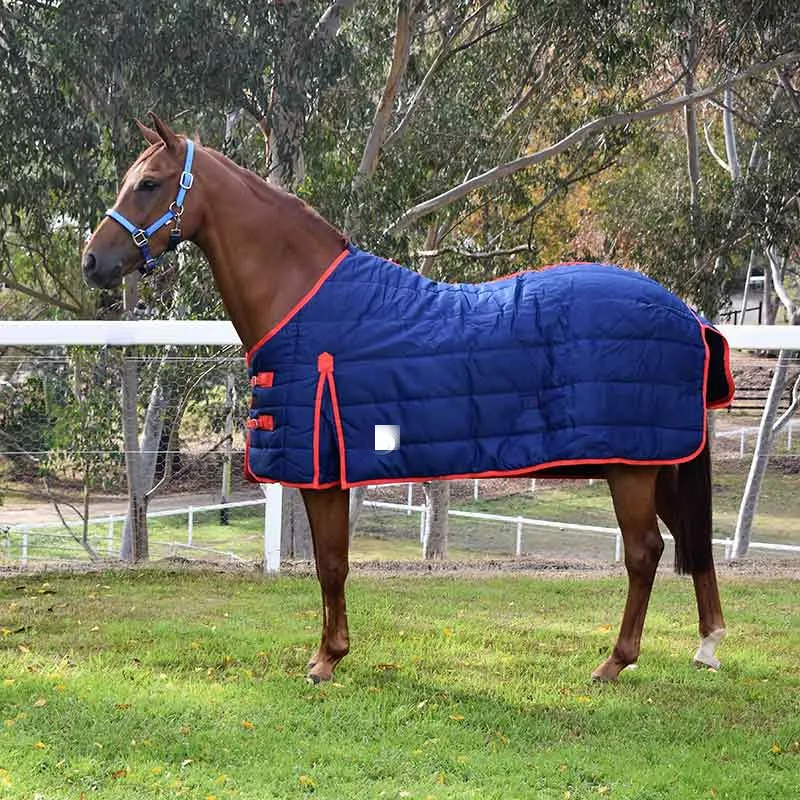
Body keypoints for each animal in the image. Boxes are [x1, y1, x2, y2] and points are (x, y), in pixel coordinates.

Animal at [82, 114, 731, 684]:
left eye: (148, 183)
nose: (92, 262)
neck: (305, 299)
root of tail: (685, 314)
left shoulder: (321, 471)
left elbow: (331, 563)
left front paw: (327, 660)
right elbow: (331, 564)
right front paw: (331, 652)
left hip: (631, 467)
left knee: (644, 553)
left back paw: (615, 662)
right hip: (657, 461)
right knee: (689, 541)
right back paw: (707, 645)